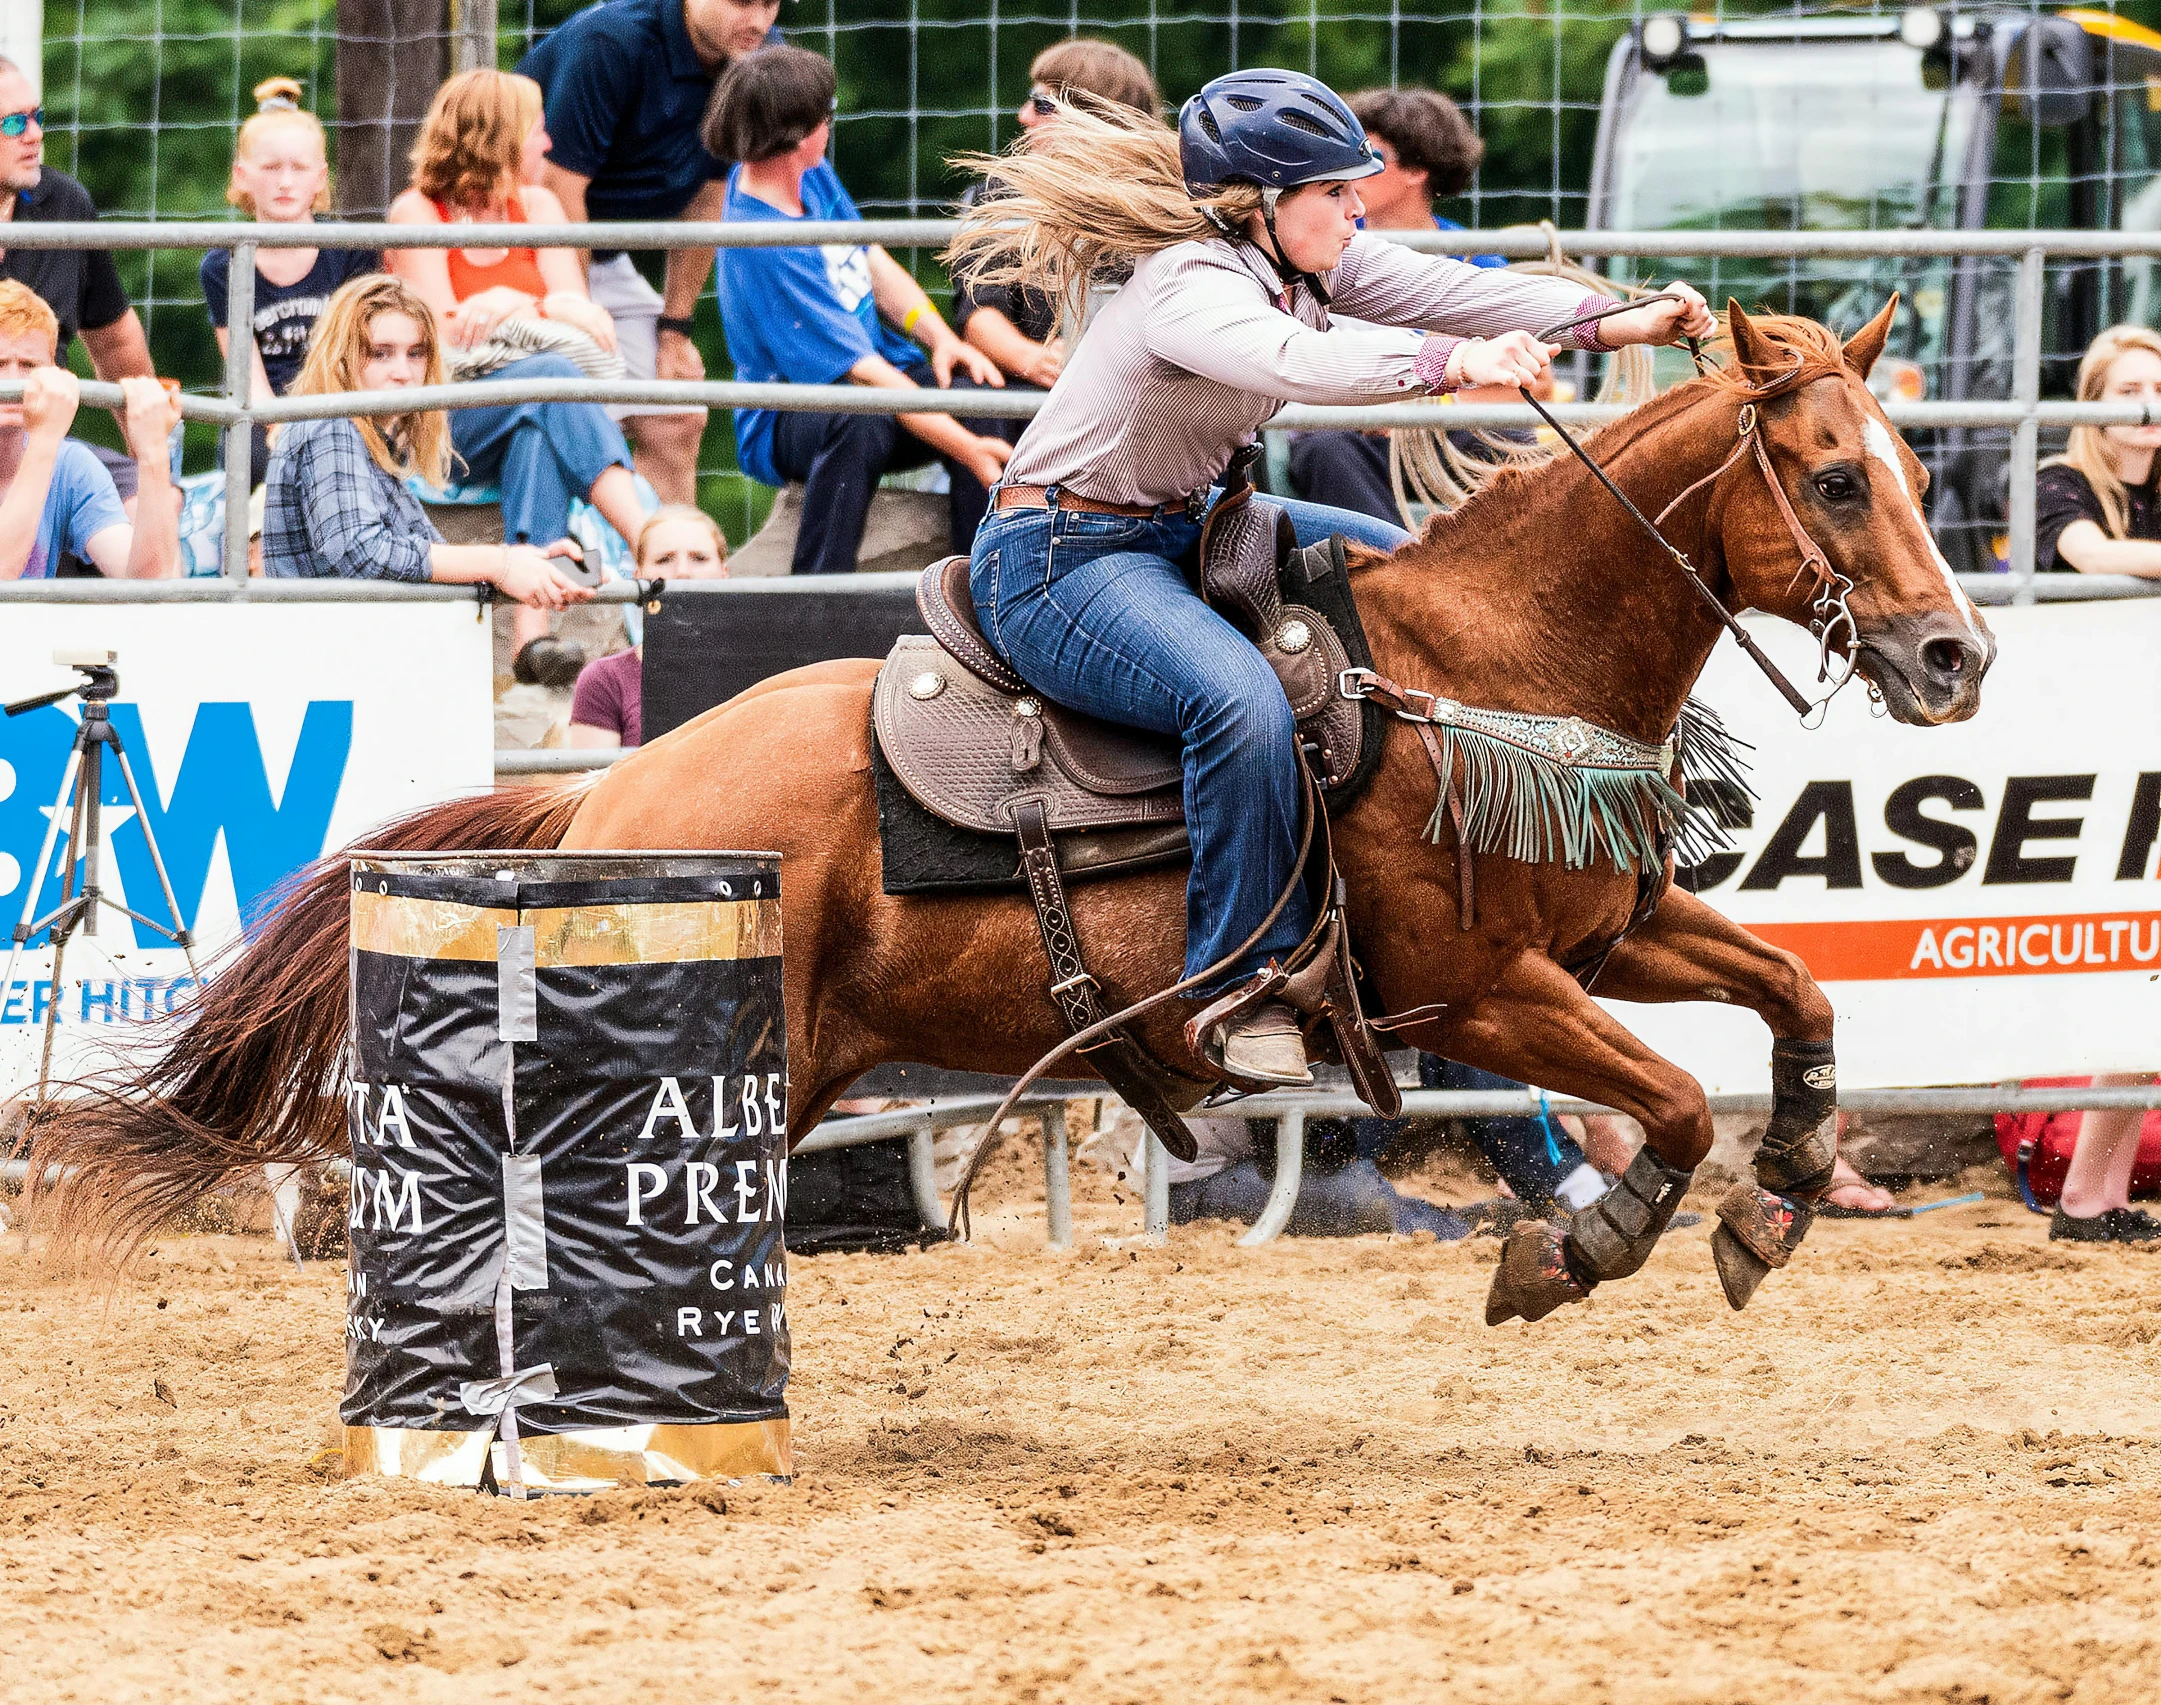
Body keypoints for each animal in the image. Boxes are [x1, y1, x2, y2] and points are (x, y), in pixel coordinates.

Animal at [29, 302, 1988, 1313]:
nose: (1953, 654)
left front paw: (1780, 1192)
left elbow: (1793, 1002)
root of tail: (606, 802)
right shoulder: (1474, 991)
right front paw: (1586, 1245)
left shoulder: (1611, 930)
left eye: (1906, 460)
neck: (1480, 659)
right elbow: (1662, 1103)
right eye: (1832, 476)